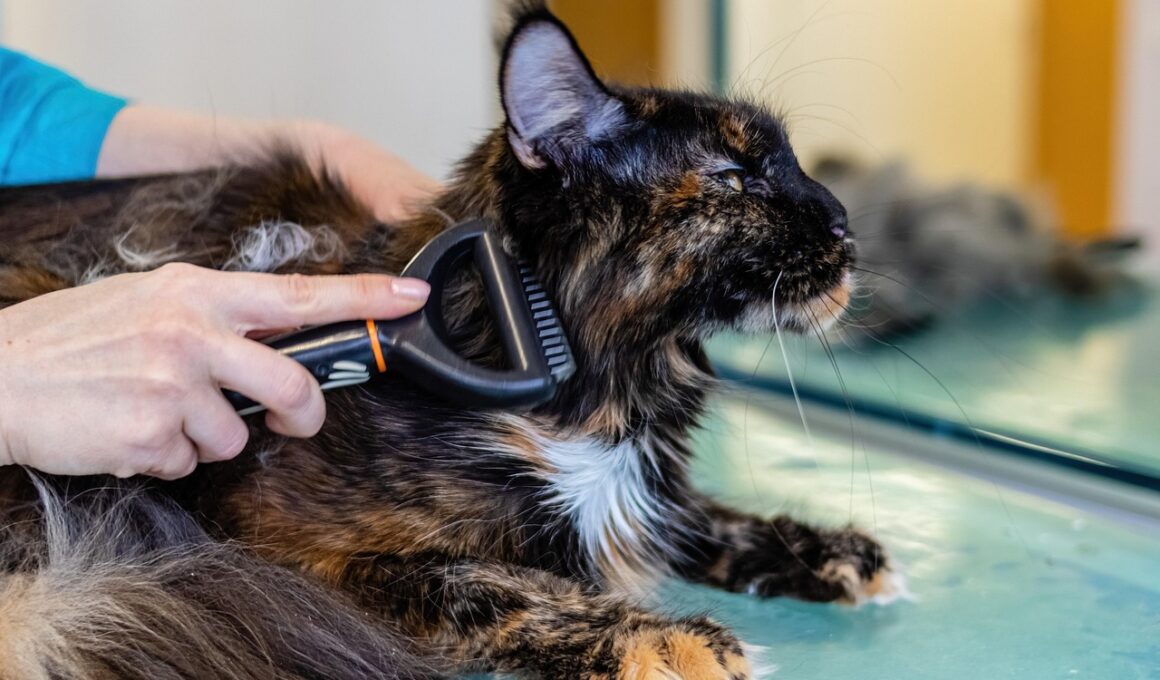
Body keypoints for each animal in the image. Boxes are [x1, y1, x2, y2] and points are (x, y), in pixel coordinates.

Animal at [0, 7, 904, 679]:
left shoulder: (641, 486)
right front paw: (665, 635)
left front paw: (825, 550)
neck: (608, 390)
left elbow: (692, 516)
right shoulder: (297, 552)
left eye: (789, 164)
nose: (843, 223)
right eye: (734, 179)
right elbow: (498, 583)